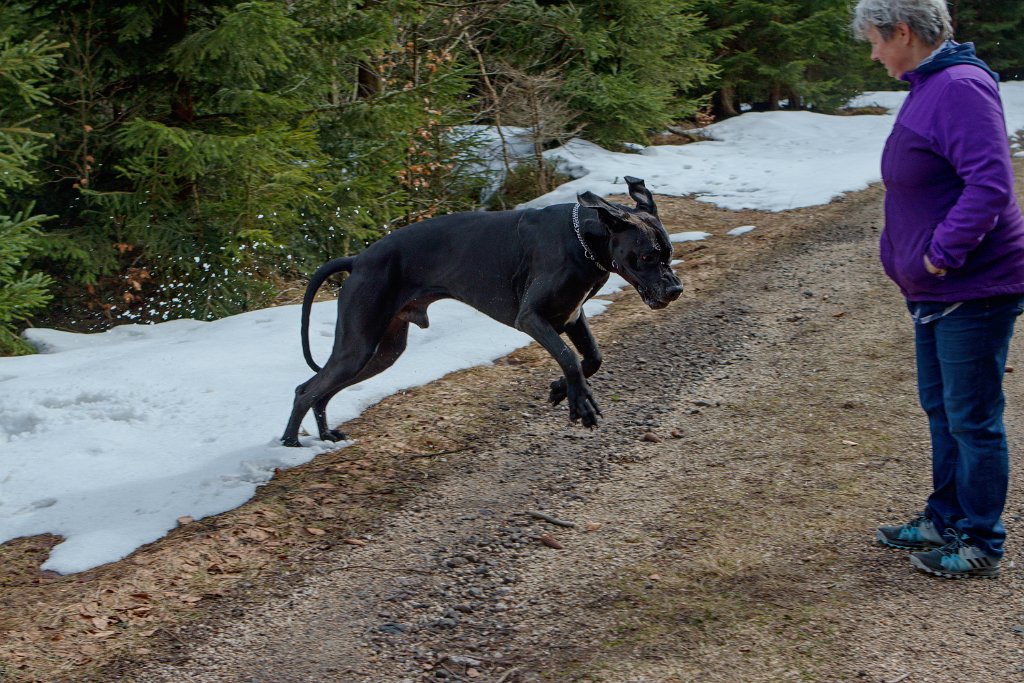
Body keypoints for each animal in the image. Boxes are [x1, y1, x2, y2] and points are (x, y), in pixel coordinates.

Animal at [280, 174, 679, 446]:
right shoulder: (532, 318)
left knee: (321, 391)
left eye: (669, 253)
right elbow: (568, 356)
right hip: (359, 345)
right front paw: (580, 403)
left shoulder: (571, 315)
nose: (676, 289)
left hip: (383, 352)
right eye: (647, 256)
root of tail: (358, 259)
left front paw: (560, 389)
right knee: (305, 389)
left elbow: (591, 358)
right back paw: (291, 444)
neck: (584, 240)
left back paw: (324, 436)